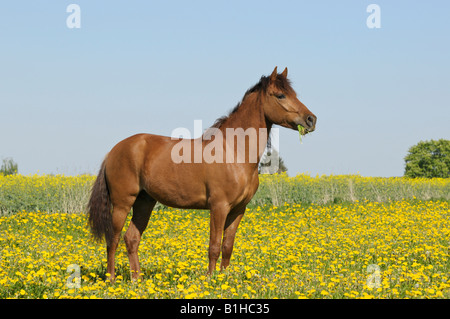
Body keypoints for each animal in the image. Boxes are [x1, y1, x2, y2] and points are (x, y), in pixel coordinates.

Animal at [86, 67, 314, 280]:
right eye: (280, 95)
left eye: (294, 93)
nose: (311, 119)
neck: (235, 151)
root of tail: (114, 150)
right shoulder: (219, 207)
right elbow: (214, 246)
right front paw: (211, 280)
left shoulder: (238, 209)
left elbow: (227, 247)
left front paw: (224, 279)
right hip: (122, 203)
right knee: (113, 240)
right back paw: (111, 279)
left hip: (144, 202)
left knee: (131, 238)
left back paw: (137, 280)